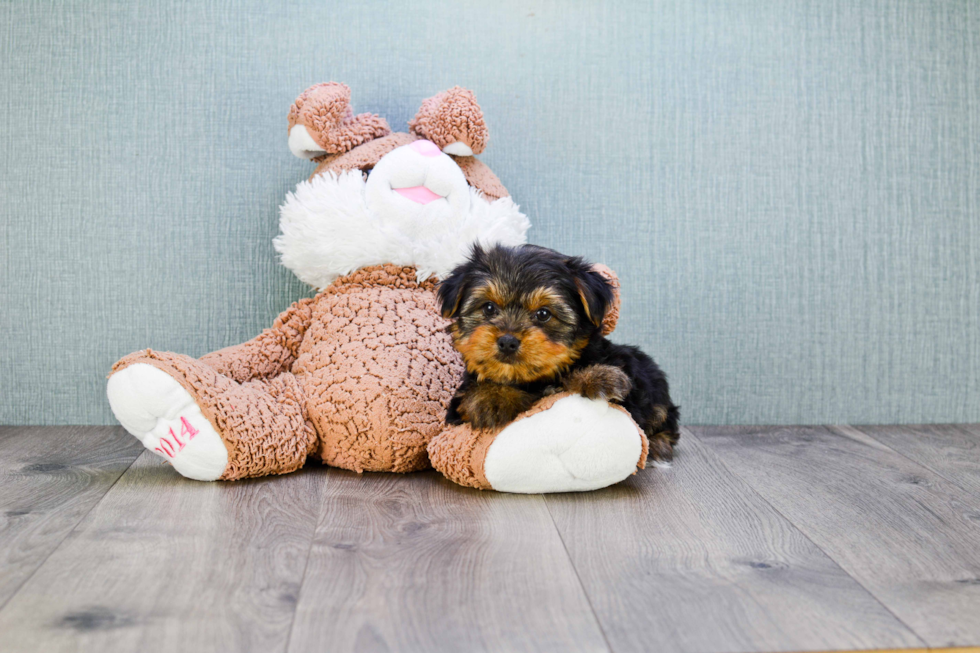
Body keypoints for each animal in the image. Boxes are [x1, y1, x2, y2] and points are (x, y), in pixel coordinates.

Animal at [438, 242, 680, 460]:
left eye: (544, 314)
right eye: (488, 308)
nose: (507, 341)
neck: (532, 381)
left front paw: (598, 376)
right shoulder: (456, 411)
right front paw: (492, 396)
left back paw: (659, 445)